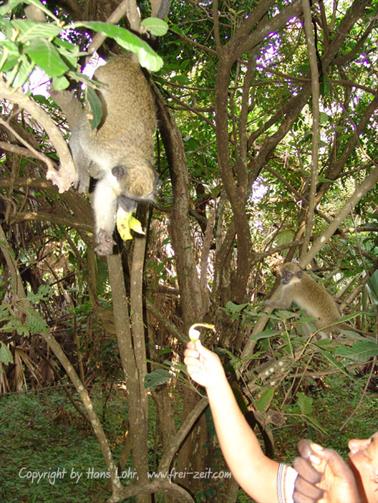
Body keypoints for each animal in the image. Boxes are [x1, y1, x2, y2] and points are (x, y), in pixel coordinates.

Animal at [51, 55, 157, 256]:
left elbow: (104, 192)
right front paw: (82, 174)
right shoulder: (100, 148)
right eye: (126, 197)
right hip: (101, 76)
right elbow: (81, 137)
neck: (129, 157)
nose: (130, 207)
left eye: (137, 201)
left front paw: (105, 237)